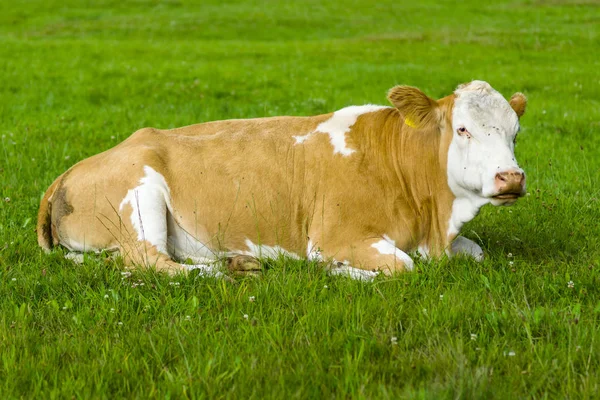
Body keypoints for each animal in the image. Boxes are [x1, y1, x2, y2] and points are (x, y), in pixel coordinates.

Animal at [36, 79, 524, 280]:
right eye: (462, 129)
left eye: (516, 133)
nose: (511, 177)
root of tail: (66, 172)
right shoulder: (337, 236)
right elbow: (400, 267)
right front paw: (335, 271)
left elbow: (477, 252)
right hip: (141, 194)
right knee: (149, 263)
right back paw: (230, 271)